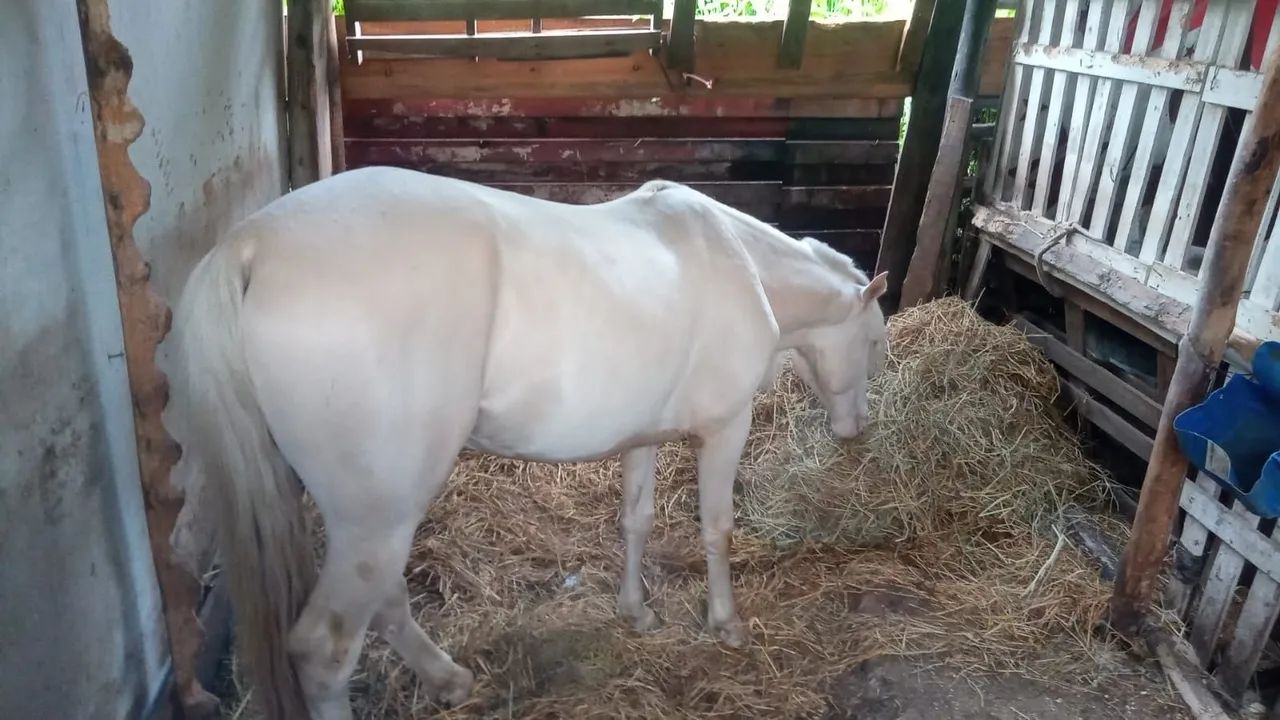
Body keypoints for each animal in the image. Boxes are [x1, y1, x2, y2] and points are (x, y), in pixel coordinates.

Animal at [171, 166, 889, 720]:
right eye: (877, 341)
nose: (855, 432)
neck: (739, 266)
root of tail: (251, 245)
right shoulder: (726, 428)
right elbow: (716, 528)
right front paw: (726, 624)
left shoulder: (644, 437)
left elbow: (636, 521)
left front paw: (636, 614)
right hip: (378, 517)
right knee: (326, 649)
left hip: (368, 517)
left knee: (385, 602)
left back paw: (449, 679)